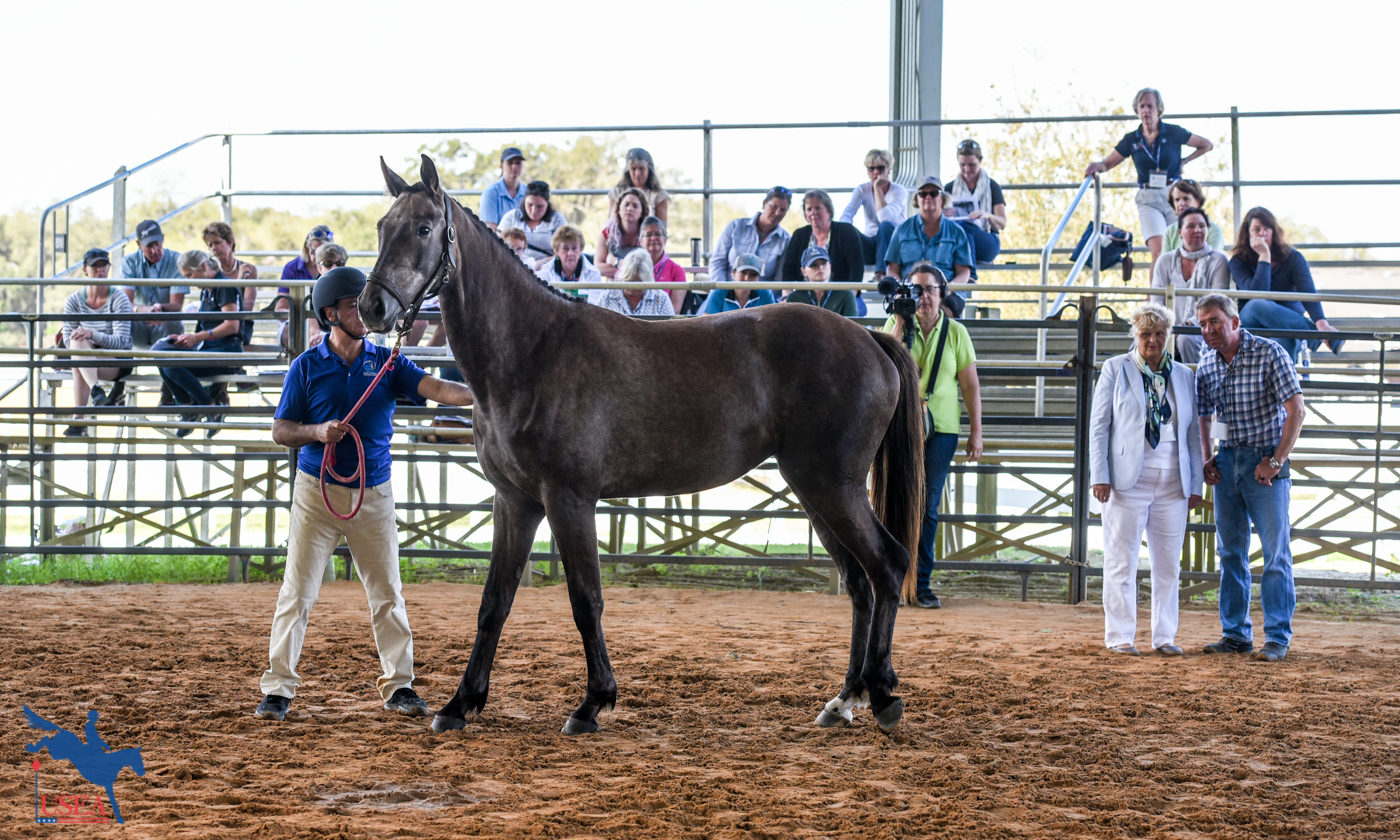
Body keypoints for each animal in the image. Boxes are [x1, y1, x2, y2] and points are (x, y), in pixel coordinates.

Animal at [366, 157, 924, 733]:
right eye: (384, 227)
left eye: (424, 228)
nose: (372, 306)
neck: (532, 352)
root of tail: (869, 338)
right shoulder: (515, 503)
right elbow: (493, 602)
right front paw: (461, 703)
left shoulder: (569, 500)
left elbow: (585, 599)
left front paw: (593, 703)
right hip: (814, 490)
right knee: (859, 582)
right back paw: (845, 698)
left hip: (834, 487)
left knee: (887, 566)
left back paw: (883, 694)